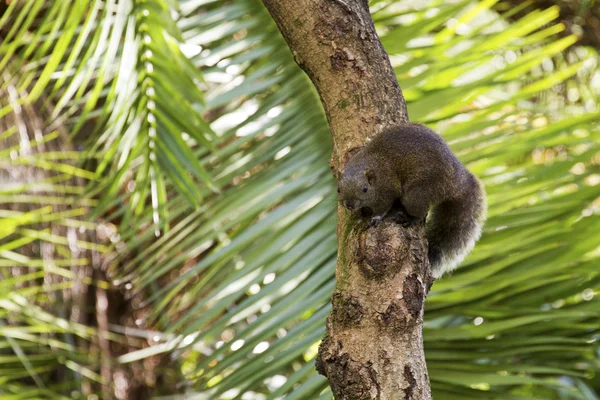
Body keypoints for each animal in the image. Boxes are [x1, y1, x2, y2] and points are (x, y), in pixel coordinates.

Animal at [338, 122, 488, 278]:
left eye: (365, 189)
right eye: (338, 189)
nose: (349, 204)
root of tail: (455, 181)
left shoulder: (387, 189)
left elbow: (383, 206)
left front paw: (375, 218)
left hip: (415, 193)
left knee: (420, 213)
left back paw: (409, 219)